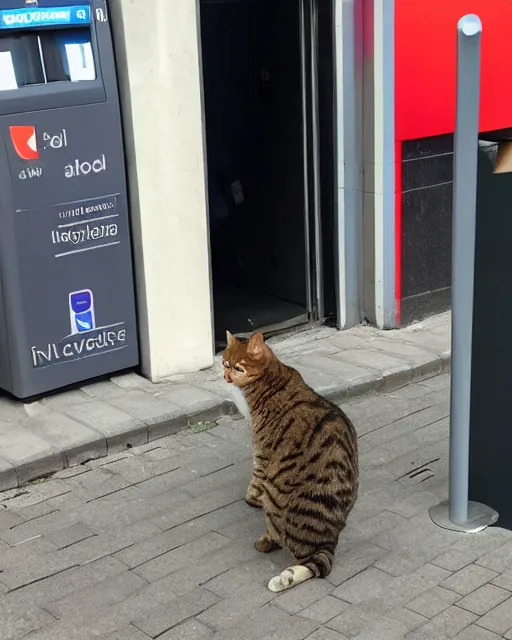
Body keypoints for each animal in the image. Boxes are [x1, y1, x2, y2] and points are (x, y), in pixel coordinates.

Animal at [222, 332, 358, 592]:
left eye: (238, 368)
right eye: (224, 364)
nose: (226, 377)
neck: (274, 376)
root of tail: (326, 540)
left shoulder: (262, 451)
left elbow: (255, 477)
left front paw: (250, 499)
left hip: (274, 499)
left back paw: (267, 547)